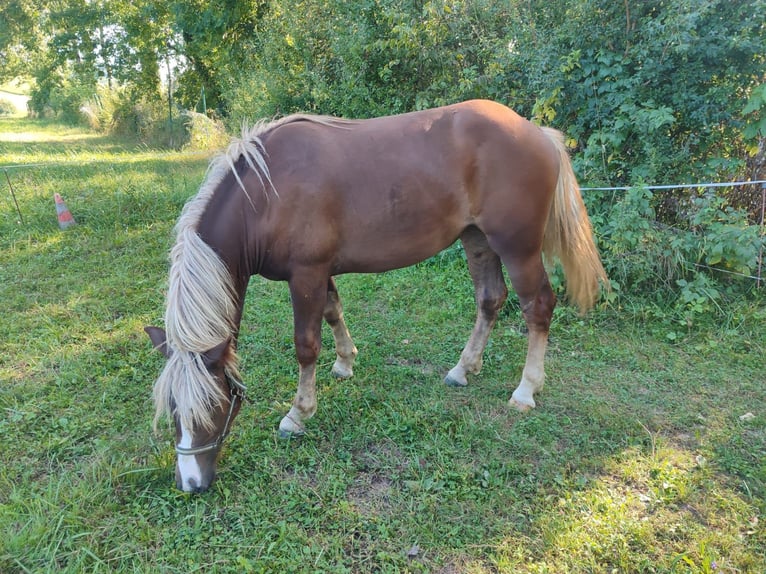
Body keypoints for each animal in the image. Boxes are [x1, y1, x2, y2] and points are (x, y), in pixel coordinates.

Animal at [147, 100, 608, 496]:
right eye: (172, 409)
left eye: (211, 406)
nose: (190, 483)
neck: (264, 195)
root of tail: (536, 132)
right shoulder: (320, 272)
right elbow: (333, 312)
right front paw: (345, 362)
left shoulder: (306, 274)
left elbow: (305, 345)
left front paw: (298, 413)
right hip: (477, 239)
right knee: (490, 300)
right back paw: (463, 368)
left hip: (518, 247)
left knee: (537, 308)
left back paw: (526, 390)